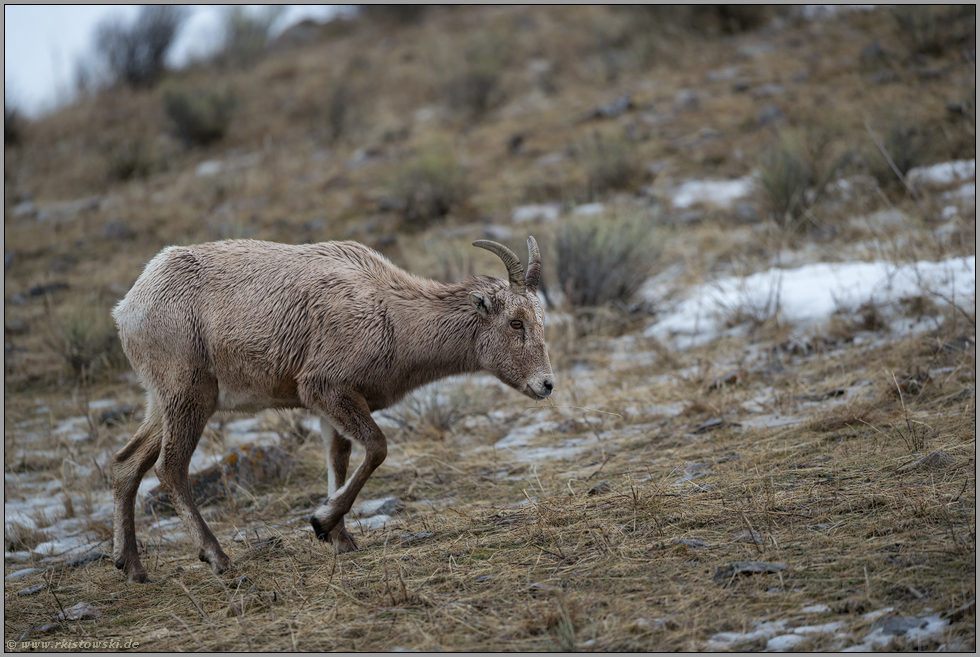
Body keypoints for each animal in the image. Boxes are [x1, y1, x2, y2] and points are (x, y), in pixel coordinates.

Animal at [112, 234, 556, 580]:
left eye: (540, 321)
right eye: (516, 322)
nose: (546, 384)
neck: (391, 313)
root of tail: (129, 307)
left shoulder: (331, 407)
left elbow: (338, 460)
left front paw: (341, 539)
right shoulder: (327, 389)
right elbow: (376, 447)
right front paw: (321, 523)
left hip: (162, 404)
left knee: (126, 463)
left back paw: (132, 567)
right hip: (188, 396)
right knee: (169, 468)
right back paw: (219, 559)